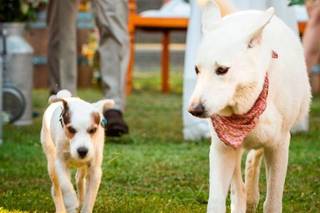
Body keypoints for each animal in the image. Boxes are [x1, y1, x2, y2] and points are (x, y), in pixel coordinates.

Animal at [189, 0, 312, 212]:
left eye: (222, 70)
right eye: (197, 70)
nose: (194, 110)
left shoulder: (279, 145)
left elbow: (272, 202)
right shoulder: (221, 148)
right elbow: (217, 200)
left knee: (254, 157)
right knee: (239, 184)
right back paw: (247, 198)